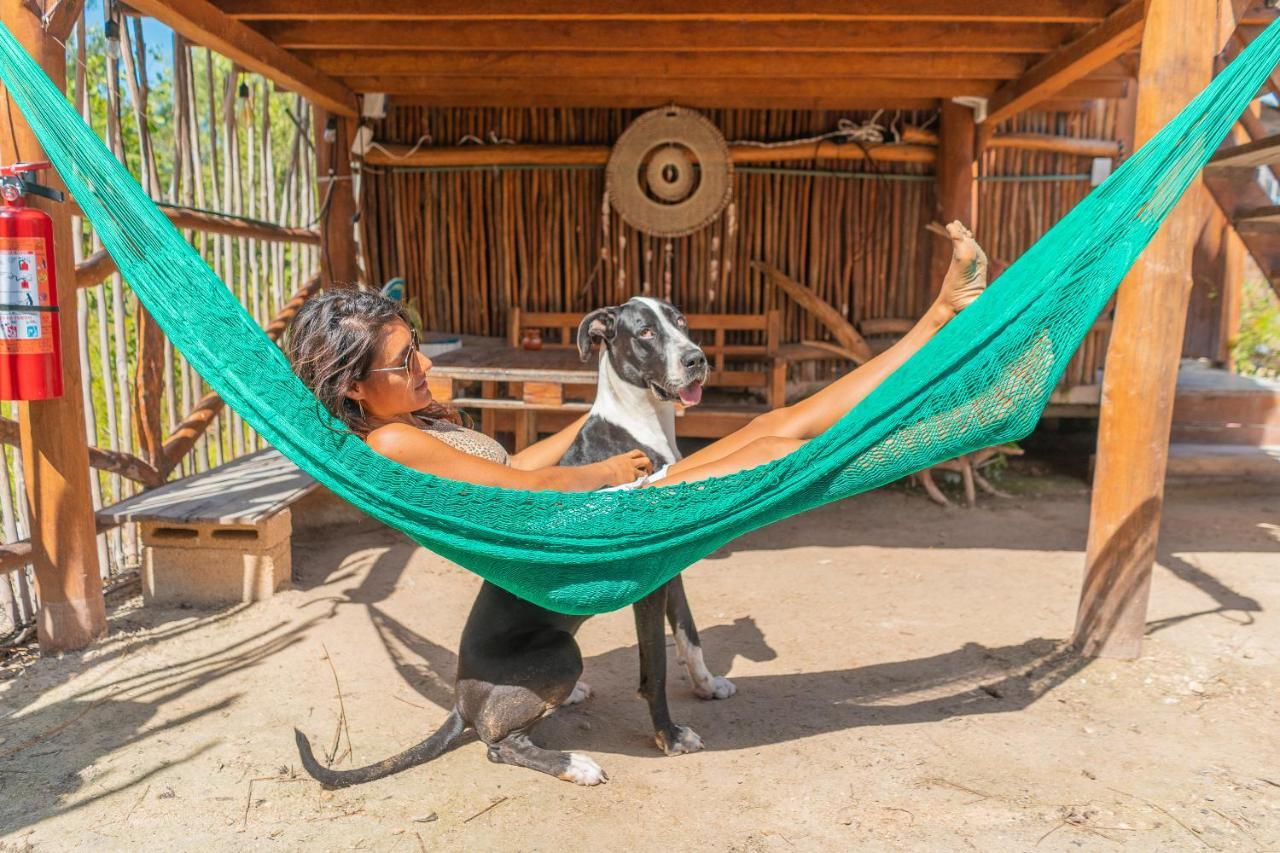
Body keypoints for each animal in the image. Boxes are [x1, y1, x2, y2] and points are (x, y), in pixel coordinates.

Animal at [293, 297, 732, 783]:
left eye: (681, 322)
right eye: (645, 333)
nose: (696, 360)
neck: (641, 423)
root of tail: (459, 702)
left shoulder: (672, 563)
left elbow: (689, 632)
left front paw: (706, 684)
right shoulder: (648, 580)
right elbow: (654, 671)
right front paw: (669, 737)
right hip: (561, 649)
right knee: (499, 745)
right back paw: (572, 763)